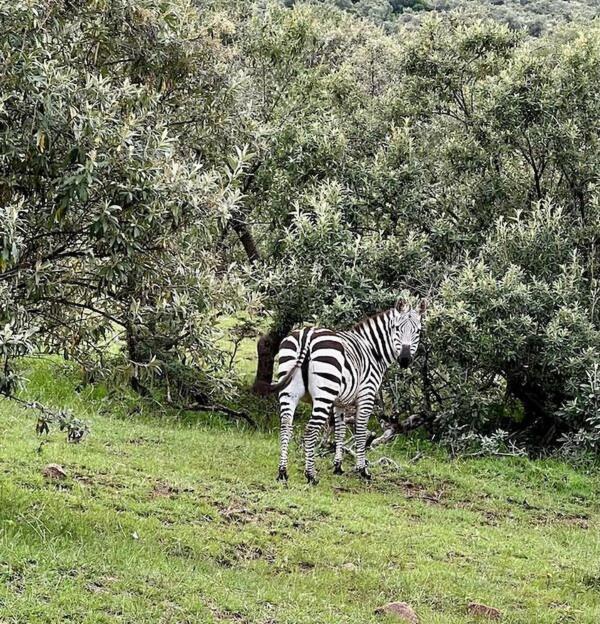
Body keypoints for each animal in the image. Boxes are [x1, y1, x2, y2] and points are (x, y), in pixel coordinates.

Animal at [264, 298, 424, 482]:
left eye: (417, 331)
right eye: (397, 328)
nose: (405, 359)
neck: (373, 350)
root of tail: (307, 335)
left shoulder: (340, 402)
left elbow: (339, 431)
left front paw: (338, 466)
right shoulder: (366, 395)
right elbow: (360, 432)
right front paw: (362, 470)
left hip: (289, 392)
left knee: (285, 427)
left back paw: (282, 472)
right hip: (324, 394)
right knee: (310, 430)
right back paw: (311, 475)